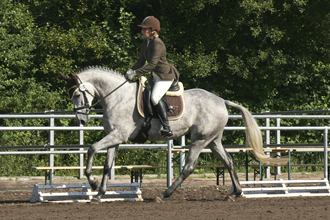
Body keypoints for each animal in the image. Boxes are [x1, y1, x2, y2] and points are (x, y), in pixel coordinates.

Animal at [60, 66, 288, 203]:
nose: (81, 121)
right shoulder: (115, 139)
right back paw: (236, 193)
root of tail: (221, 100)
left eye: (78, 94)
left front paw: (92, 182)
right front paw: (99, 194)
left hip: (199, 140)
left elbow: (91, 149)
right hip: (213, 141)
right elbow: (107, 166)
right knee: (229, 161)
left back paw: (164, 194)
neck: (117, 97)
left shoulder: (118, 136)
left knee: (188, 168)